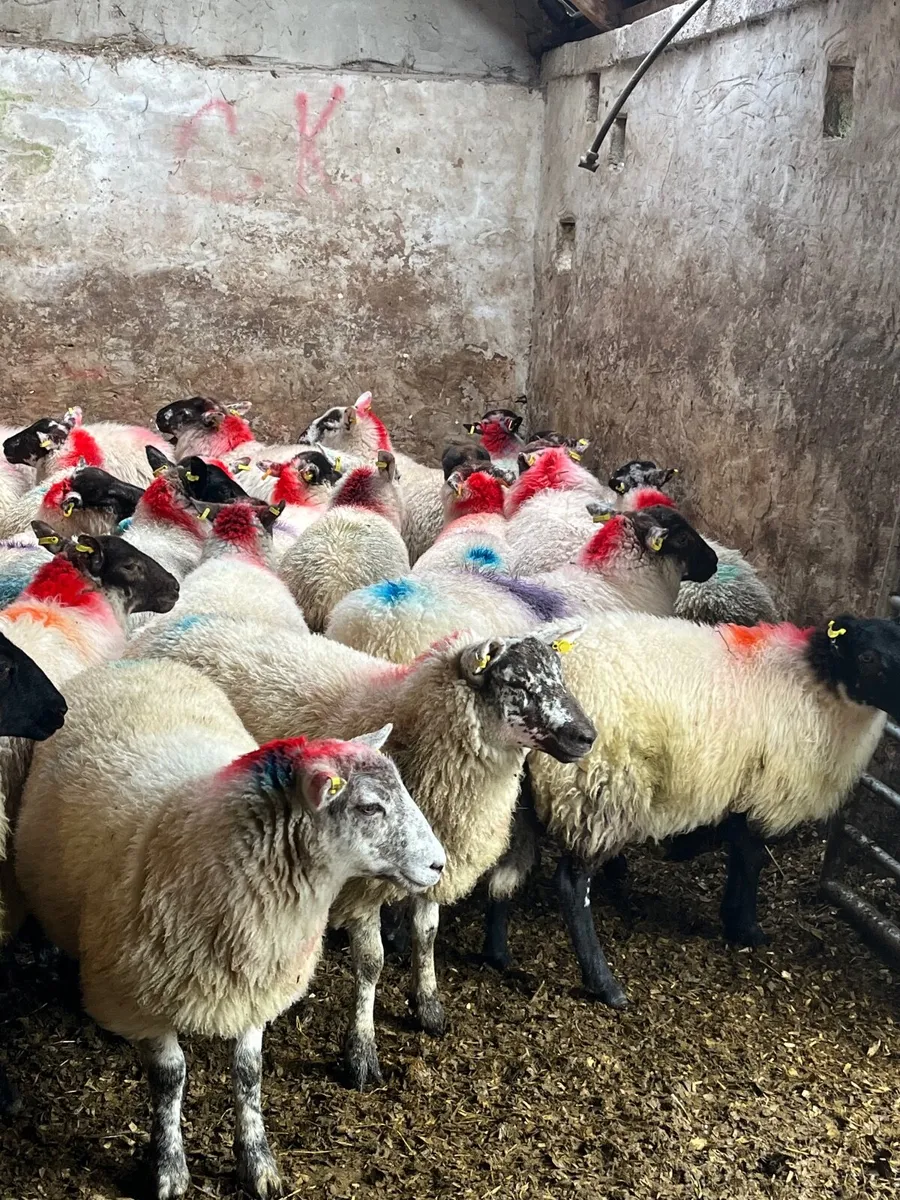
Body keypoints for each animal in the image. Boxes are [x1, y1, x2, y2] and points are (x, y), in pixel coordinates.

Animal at [14, 658, 444, 1198]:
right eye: (370, 807)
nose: (439, 864)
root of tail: (136, 662)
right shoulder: (146, 990)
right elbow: (170, 1079)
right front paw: (169, 1168)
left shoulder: (255, 983)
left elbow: (248, 1073)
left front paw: (257, 1161)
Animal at [128, 616, 594, 1088]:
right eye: (517, 682)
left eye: (560, 673)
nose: (586, 736)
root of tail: (160, 625)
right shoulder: (360, 886)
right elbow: (371, 964)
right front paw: (361, 1052)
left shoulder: (431, 862)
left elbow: (427, 934)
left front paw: (428, 1006)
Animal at [505, 612, 900, 1007]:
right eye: (866, 657)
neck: (821, 684)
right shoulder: (765, 787)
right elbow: (752, 858)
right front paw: (748, 928)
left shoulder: (743, 787)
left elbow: (739, 853)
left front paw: (731, 915)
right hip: (600, 789)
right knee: (572, 884)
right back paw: (605, 984)